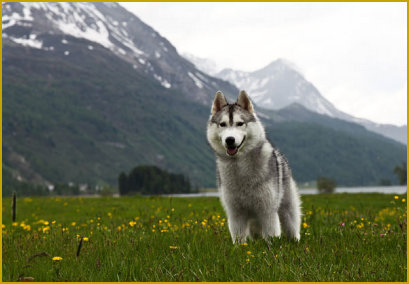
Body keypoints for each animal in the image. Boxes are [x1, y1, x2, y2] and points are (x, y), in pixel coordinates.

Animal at [207, 90, 300, 243]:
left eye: (240, 123)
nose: (230, 140)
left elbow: (271, 236)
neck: (239, 167)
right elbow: (238, 239)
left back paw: (295, 241)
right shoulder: (235, 213)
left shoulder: (267, 211)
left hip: (287, 209)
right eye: (222, 124)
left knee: (292, 226)